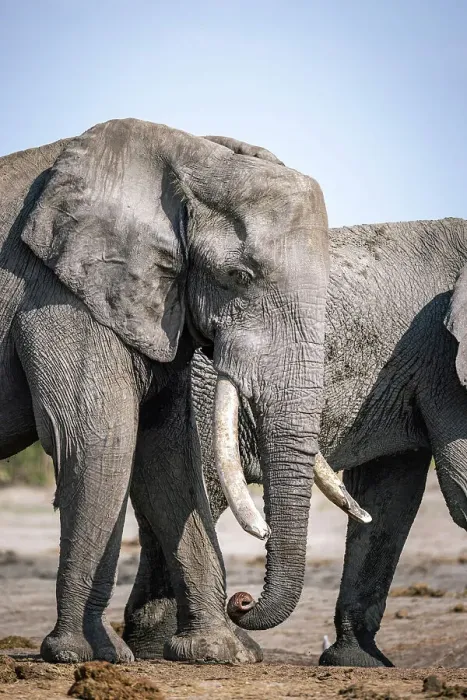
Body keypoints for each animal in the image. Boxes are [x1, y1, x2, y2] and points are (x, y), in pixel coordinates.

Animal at [0, 118, 347, 664]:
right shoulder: (58, 293)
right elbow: (100, 443)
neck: (188, 155)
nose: (242, 601)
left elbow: (168, 458)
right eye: (238, 276)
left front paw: (220, 654)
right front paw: (81, 655)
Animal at [122, 213, 467, 668]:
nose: (243, 600)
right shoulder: (447, 366)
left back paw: (154, 647)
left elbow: (388, 499)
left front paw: (358, 663)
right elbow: (460, 486)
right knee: (200, 492)